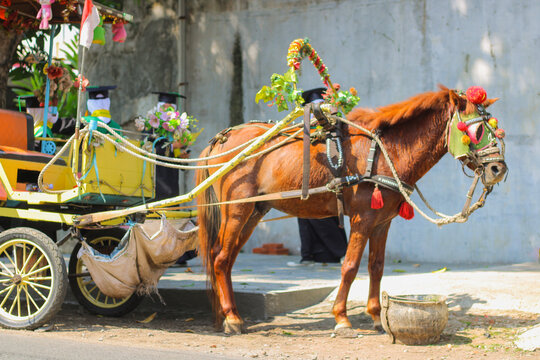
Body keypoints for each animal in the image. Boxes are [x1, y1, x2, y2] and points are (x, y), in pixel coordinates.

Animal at [196, 86, 508, 334]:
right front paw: (342, 319)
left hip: (254, 211)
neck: (384, 152)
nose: (498, 169)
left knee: (225, 258)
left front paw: (376, 317)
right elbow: (349, 266)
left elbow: (376, 267)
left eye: (495, 128)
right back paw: (232, 319)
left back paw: (225, 314)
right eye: (476, 130)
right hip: (236, 210)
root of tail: (222, 138)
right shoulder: (362, 219)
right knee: (220, 258)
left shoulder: (382, 222)